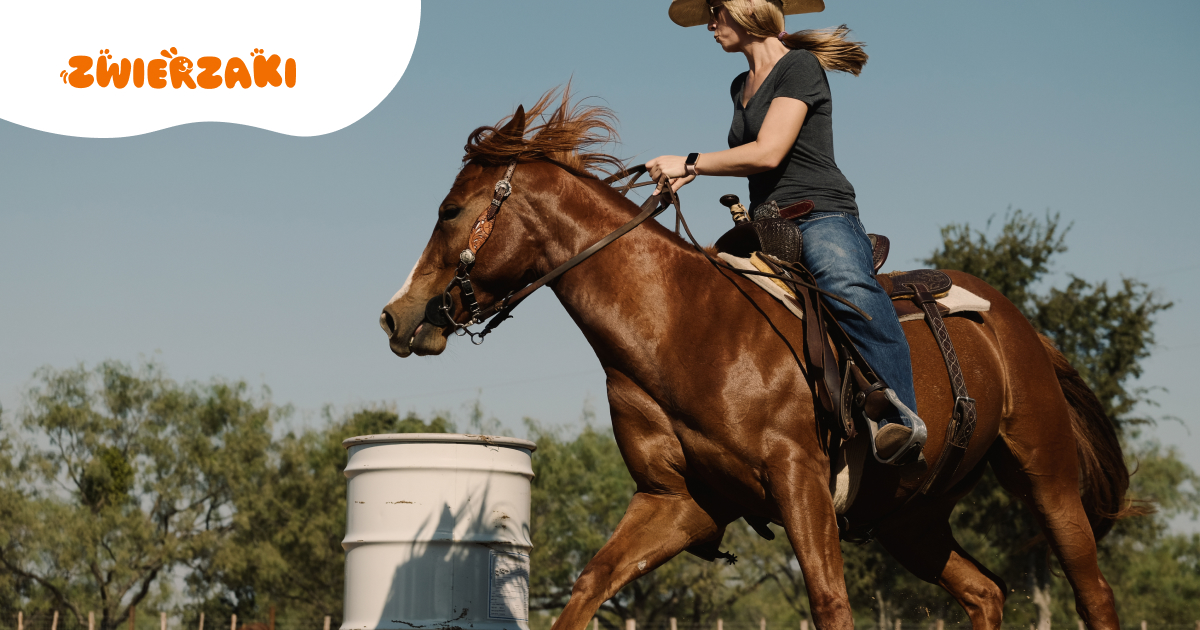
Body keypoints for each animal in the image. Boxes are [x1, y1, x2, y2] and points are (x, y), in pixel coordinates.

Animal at [378, 89, 1136, 629]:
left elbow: (830, 604)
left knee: (1094, 594)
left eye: (450, 210)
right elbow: (589, 587)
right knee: (985, 593)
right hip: (911, 518)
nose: (395, 314)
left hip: (1046, 477)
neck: (680, 326)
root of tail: (1017, 326)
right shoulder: (681, 501)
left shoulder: (799, 482)